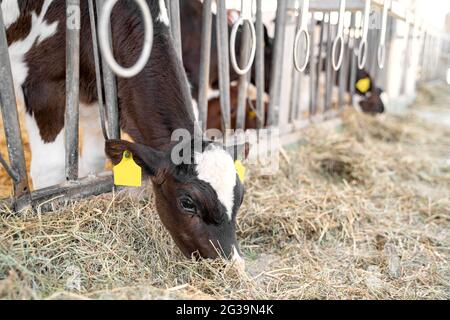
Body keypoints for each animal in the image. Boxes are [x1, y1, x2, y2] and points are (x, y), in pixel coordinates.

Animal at [2, 0, 246, 260]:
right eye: (187, 203)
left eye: (240, 198)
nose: (233, 265)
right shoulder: (42, 87)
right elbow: (49, 171)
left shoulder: (100, 98)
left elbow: (94, 161)